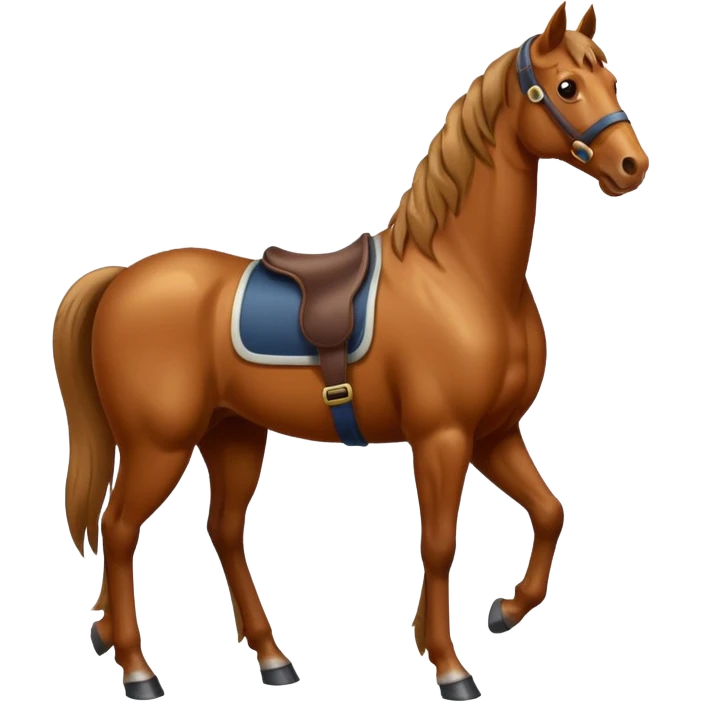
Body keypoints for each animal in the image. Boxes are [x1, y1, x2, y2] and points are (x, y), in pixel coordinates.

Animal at [52, 3, 648, 700]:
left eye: (609, 78)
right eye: (566, 88)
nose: (632, 166)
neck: (464, 276)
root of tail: (119, 279)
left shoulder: (494, 434)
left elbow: (550, 511)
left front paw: (503, 610)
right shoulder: (443, 437)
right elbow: (439, 544)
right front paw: (449, 665)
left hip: (232, 434)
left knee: (222, 531)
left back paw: (267, 658)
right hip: (158, 446)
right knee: (119, 532)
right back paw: (138, 669)